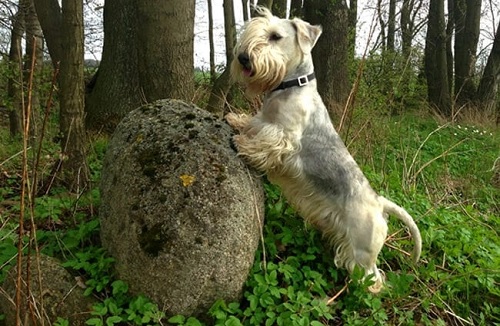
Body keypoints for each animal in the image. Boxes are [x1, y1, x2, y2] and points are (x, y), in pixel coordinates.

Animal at [225, 7, 420, 292]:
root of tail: (379, 203)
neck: (291, 86)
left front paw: (244, 145)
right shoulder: (264, 120)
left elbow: (265, 144)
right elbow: (251, 123)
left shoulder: (284, 137)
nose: (243, 57)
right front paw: (236, 120)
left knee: (373, 278)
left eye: (275, 36)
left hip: (362, 252)